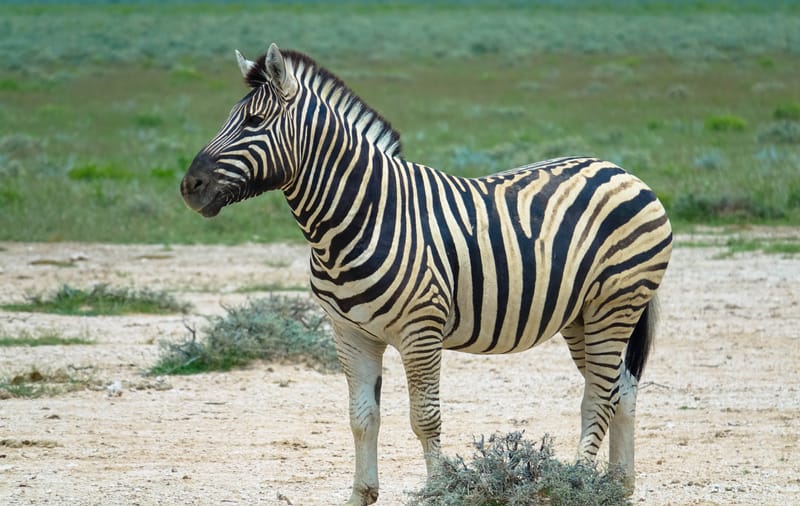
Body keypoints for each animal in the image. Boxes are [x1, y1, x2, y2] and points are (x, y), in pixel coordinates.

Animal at [181, 43, 672, 505]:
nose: (188, 187)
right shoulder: (349, 333)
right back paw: (615, 486)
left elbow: (425, 419)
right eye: (231, 118)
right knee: (620, 389)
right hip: (581, 315)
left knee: (598, 398)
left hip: (615, 304)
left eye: (255, 121)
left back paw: (576, 483)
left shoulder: (421, 331)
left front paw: (438, 491)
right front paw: (361, 494)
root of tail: (621, 170)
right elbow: (362, 418)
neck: (364, 216)